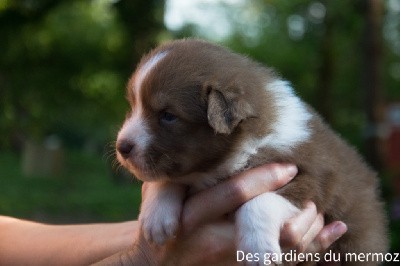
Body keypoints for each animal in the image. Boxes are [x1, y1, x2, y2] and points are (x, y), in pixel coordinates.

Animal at [115, 39, 388, 264]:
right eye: (133, 106)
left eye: (168, 115)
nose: (122, 147)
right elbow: (167, 178)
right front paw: (156, 219)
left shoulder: (315, 180)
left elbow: (260, 201)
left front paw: (257, 250)